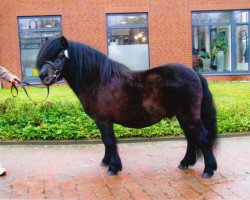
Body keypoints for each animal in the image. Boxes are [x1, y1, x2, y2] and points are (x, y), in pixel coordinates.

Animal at [36, 36, 217, 178]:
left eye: (60, 55)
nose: (43, 76)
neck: (98, 80)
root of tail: (195, 73)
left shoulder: (103, 120)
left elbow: (109, 141)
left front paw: (113, 167)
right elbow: (106, 142)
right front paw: (106, 161)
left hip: (189, 115)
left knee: (202, 136)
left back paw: (208, 170)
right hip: (183, 116)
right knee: (191, 138)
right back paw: (185, 162)